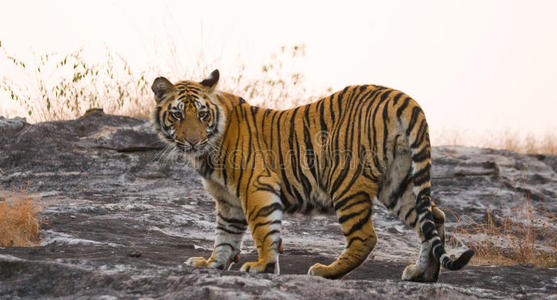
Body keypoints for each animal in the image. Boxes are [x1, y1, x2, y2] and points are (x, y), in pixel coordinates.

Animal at [150, 69, 472, 282]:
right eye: (177, 115)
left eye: (202, 114)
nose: (193, 141)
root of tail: (401, 97)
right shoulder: (228, 201)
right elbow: (225, 236)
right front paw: (211, 264)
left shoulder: (257, 188)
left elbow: (264, 230)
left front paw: (263, 267)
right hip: (400, 183)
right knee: (433, 218)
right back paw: (423, 274)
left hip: (346, 182)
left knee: (366, 238)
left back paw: (326, 272)